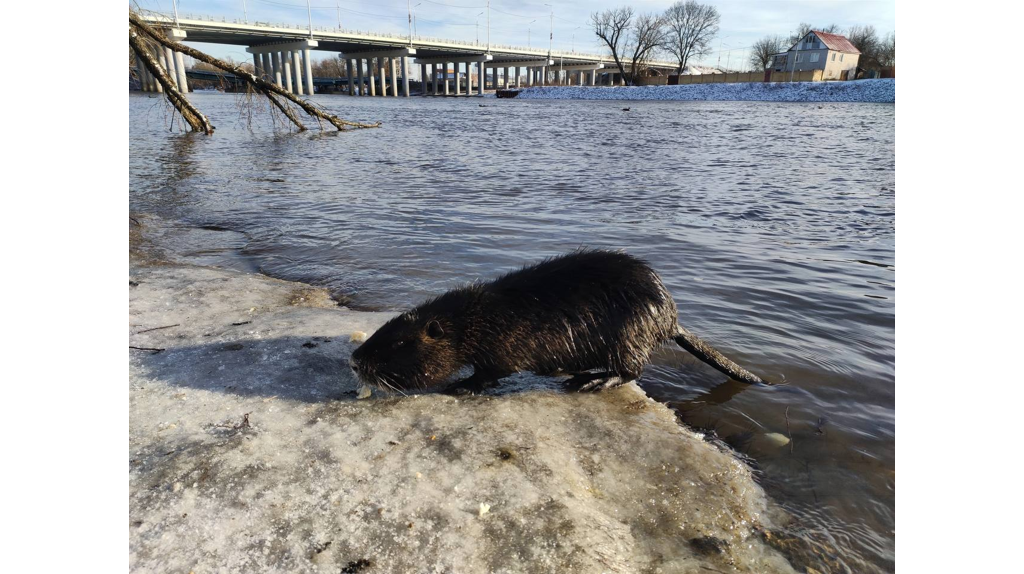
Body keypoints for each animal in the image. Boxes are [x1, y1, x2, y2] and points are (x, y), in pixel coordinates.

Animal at [348, 248, 765, 390]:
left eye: (400, 343)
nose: (354, 361)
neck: (477, 317)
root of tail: (671, 319)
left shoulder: (504, 345)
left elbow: (493, 371)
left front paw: (462, 386)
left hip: (629, 336)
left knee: (632, 370)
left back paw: (591, 380)